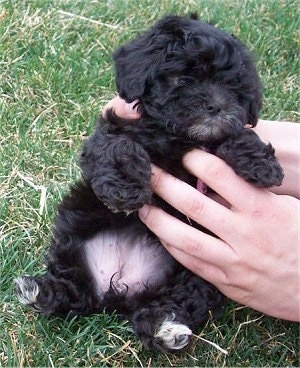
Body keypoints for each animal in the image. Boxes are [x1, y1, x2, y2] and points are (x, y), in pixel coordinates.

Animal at [15, 15, 282, 354]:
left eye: (233, 88)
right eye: (182, 79)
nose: (216, 107)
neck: (180, 138)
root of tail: (118, 289)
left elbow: (235, 135)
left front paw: (261, 163)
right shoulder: (115, 129)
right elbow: (118, 147)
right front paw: (127, 190)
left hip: (197, 273)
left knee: (169, 304)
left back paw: (165, 327)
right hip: (74, 241)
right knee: (74, 289)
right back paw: (39, 290)